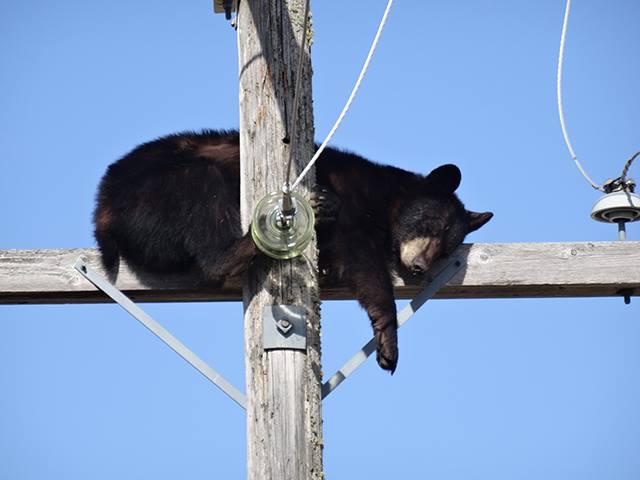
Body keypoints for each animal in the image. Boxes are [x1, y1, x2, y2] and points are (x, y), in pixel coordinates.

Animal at [95, 129, 492, 374]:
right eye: (431, 225)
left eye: (447, 246)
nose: (421, 266)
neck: (383, 201)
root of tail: (103, 209)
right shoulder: (354, 204)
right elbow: (364, 264)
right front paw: (387, 339)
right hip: (159, 191)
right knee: (203, 191)